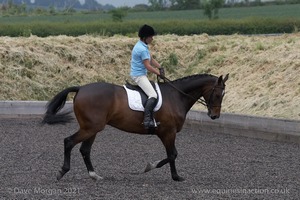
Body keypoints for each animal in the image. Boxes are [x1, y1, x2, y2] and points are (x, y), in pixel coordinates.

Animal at [42, 73, 229, 181]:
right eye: (218, 94)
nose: (215, 116)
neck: (176, 96)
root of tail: (81, 88)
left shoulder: (167, 133)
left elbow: (172, 155)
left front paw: (169, 173)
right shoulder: (168, 132)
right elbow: (172, 154)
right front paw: (168, 174)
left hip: (92, 129)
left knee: (84, 150)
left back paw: (94, 175)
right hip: (90, 128)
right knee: (69, 142)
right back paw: (62, 171)